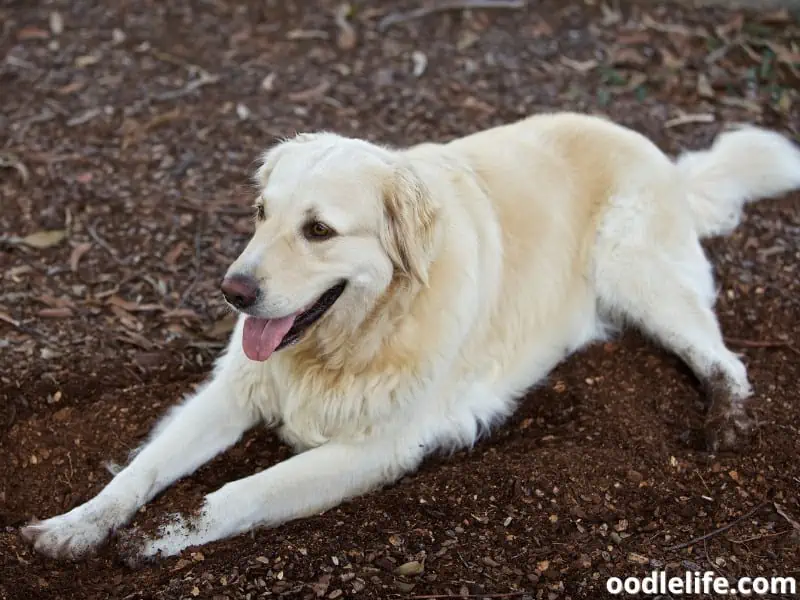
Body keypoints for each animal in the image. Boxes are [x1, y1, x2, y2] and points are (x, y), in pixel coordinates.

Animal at [18, 111, 800, 564]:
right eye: (261, 213)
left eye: (319, 230)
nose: (231, 292)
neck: (354, 339)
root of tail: (664, 158)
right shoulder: (234, 389)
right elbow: (142, 469)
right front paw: (79, 523)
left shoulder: (377, 449)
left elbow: (243, 490)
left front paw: (163, 535)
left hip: (637, 270)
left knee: (724, 357)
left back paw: (727, 418)